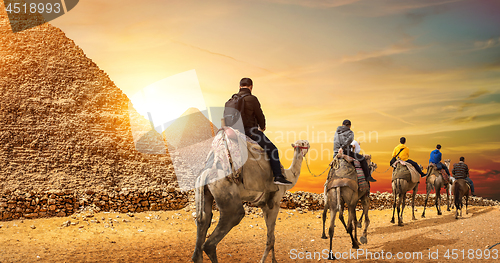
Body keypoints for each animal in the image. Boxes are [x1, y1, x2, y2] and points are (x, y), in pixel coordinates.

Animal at [192, 127, 306, 262]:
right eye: (304, 143)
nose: (308, 145)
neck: (288, 176)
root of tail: (206, 173)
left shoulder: (264, 205)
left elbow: (271, 237)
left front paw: (274, 260)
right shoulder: (274, 203)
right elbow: (270, 239)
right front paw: (265, 261)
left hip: (203, 191)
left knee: (204, 220)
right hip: (226, 194)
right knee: (220, 231)